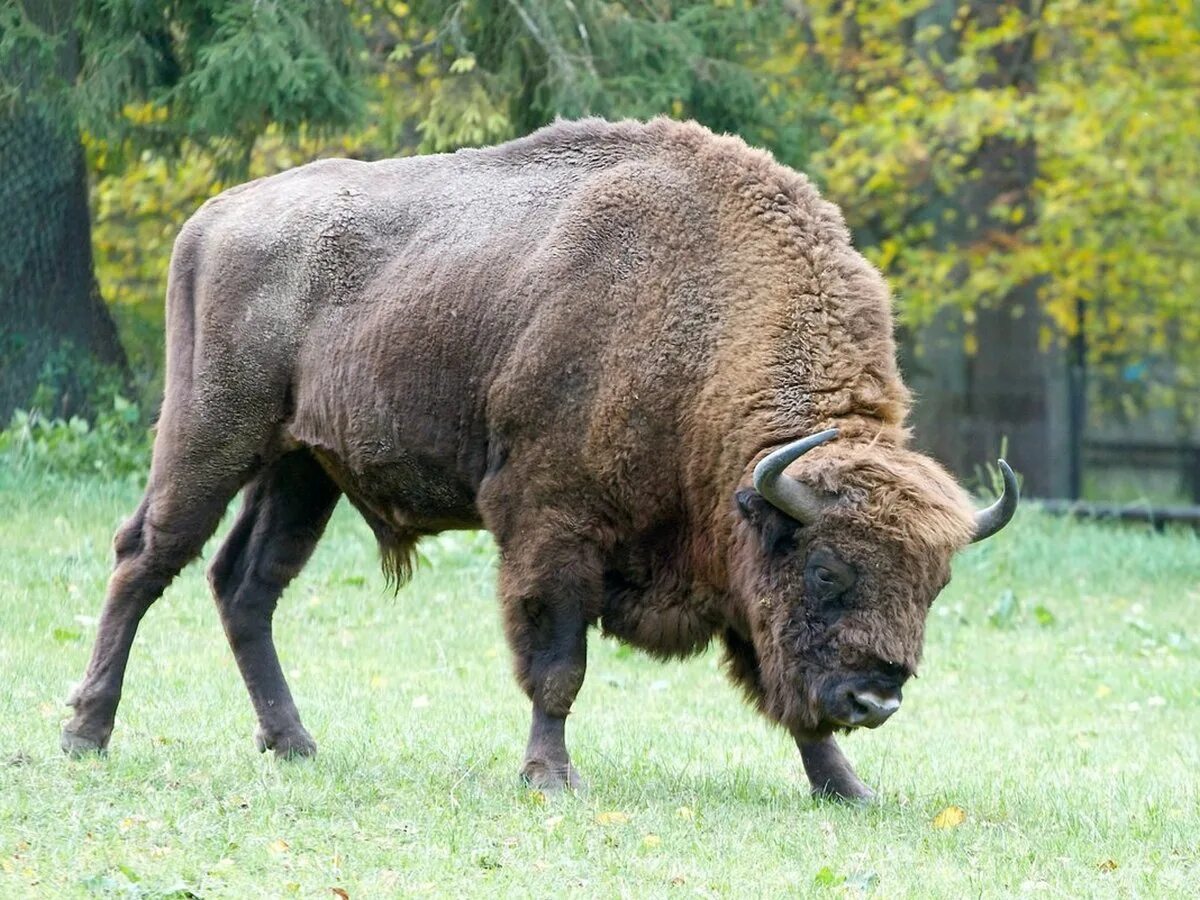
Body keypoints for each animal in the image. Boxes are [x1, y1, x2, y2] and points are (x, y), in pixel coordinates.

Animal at [63, 116, 1012, 801]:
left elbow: (777, 684)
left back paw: (293, 743)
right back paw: (85, 733)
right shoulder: (551, 527)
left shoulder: (728, 561)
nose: (878, 697)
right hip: (212, 435)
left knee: (246, 585)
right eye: (827, 572)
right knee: (145, 558)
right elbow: (557, 667)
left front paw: (847, 787)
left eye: (934, 586)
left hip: (301, 469)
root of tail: (213, 217)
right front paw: (551, 777)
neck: (703, 320)